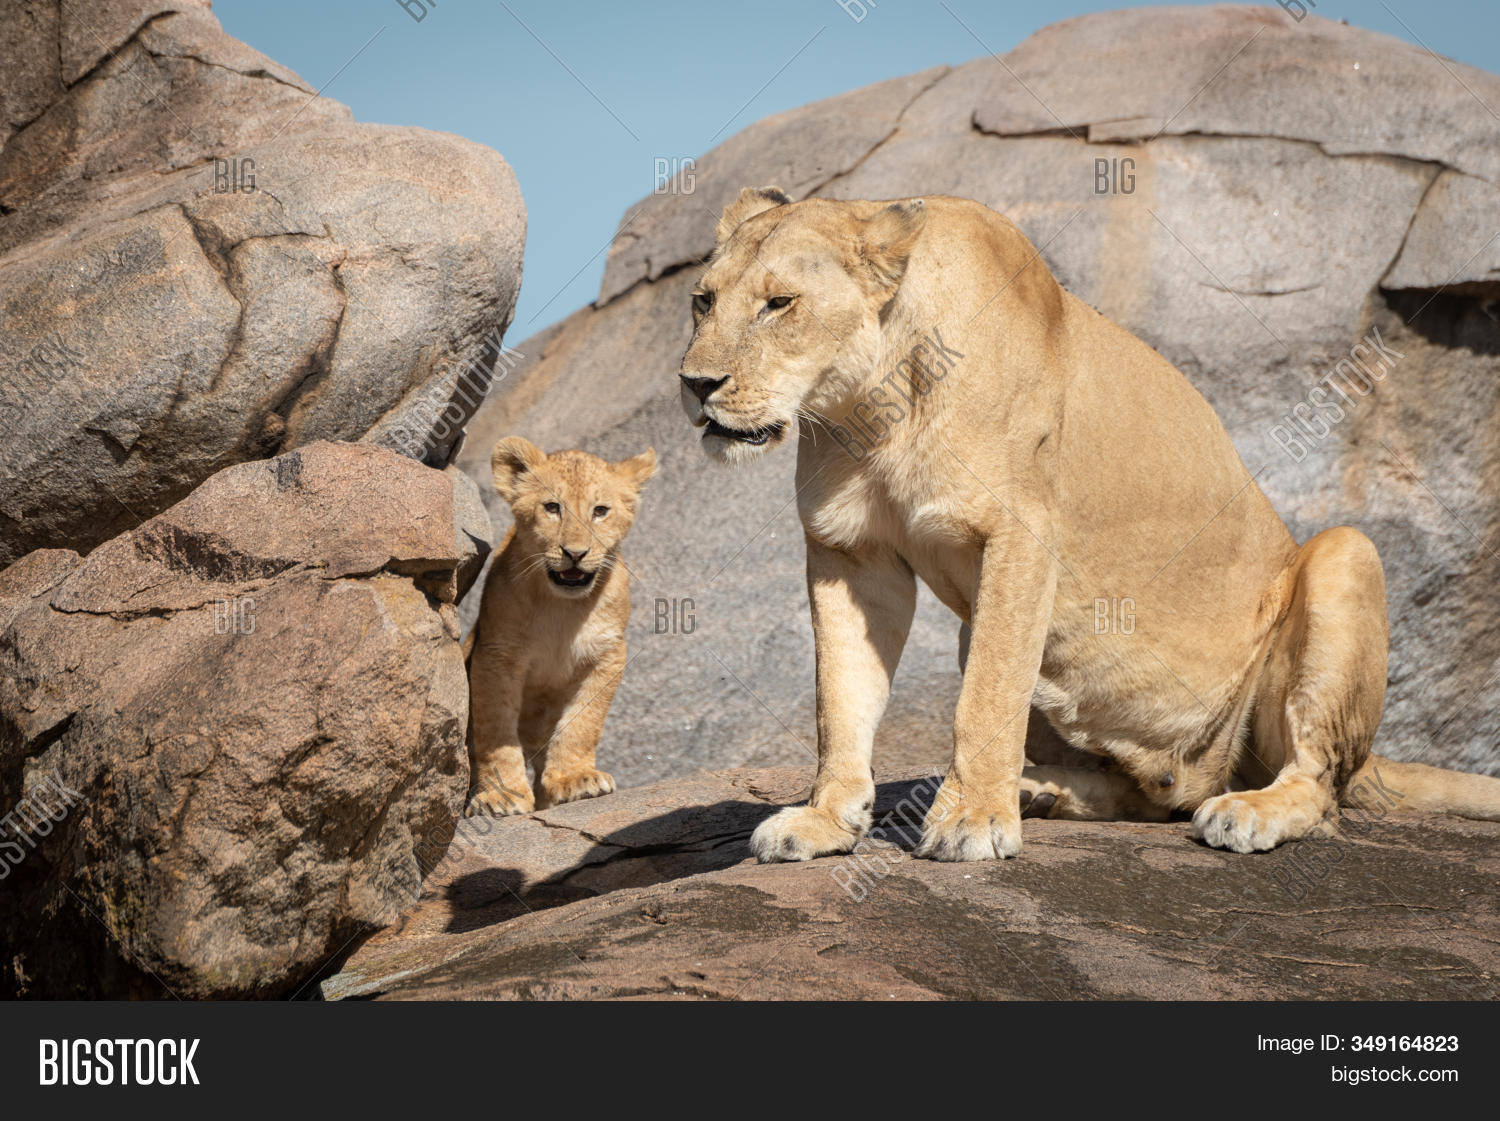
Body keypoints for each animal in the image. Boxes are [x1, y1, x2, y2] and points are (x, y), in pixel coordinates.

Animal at [464, 436, 656, 817]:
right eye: (553, 508)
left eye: (600, 511)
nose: (575, 554)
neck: (562, 609)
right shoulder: (495, 655)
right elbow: (496, 728)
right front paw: (502, 795)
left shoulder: (608, 654)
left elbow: (582, 723)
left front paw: (574, 780)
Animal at [678, 186, 1500, 860]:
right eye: (702, 301)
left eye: (779, 304)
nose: (695, 383)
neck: (869, 407)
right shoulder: (851, 554)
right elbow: (840, 698)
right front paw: (825, 820)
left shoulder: (1020, 537)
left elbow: (986, 696)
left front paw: (973, 821)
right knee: (1151, 796)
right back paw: (1043, 788)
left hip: (1343, 554)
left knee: (1318, 785)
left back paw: (1248, 810)